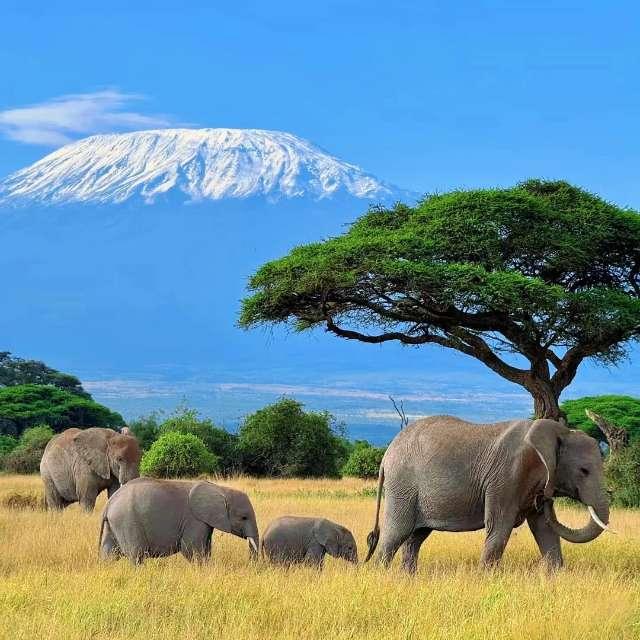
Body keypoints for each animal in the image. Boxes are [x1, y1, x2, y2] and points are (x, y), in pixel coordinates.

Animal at [99, 477, 259, 564]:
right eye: (243, 517)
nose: (252, 564)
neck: (221, 490)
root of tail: (109, 504)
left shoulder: (204, 521)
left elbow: (206, 548)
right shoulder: (194, 520)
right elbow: (191, 549)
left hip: (113, 523)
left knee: (109, 552)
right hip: (127, 521)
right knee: (136, 554)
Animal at [365, 416, 612, 572]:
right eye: (584, 471)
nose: (547, 498)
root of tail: (387, 455)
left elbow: (544, 530)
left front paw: (555, 578)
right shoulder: (506, 478)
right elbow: (499, 527)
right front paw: (485, 578)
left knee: (415, 538)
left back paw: (407, 578)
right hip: (403, 487)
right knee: (395, 535)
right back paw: (381, 577)